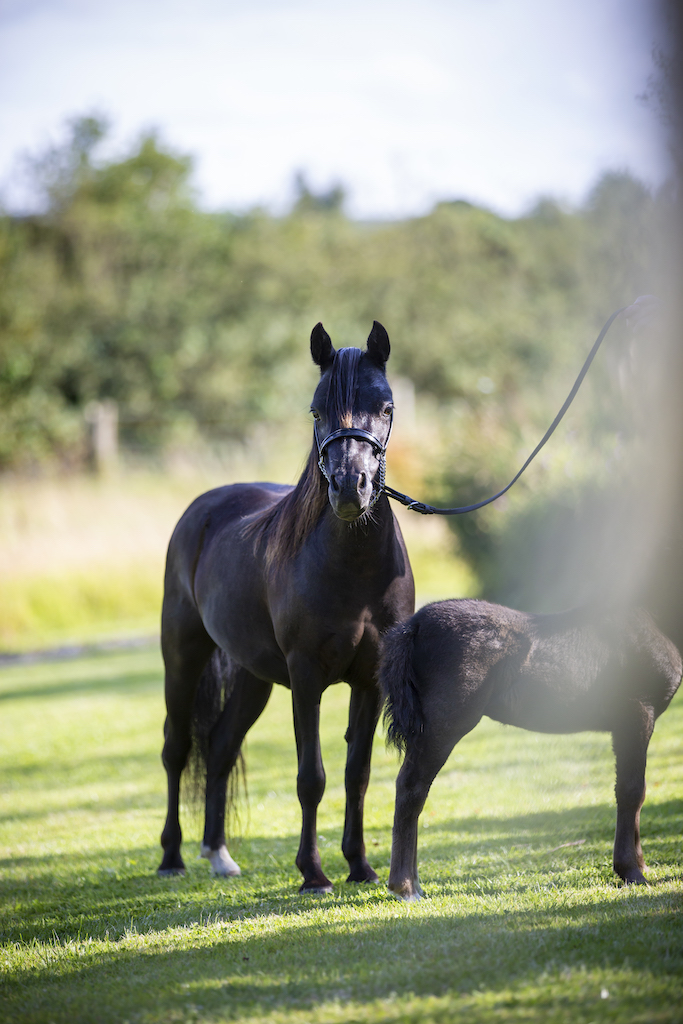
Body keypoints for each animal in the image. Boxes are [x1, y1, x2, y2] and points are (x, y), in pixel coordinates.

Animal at [158, 321, 415, 892]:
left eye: (385, 407)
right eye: (317, 412)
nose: (349, 487)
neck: (353, 570)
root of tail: (202, 509)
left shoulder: (370, 679)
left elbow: (357, 774)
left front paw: (360, 866)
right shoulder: (306, 676)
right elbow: (311, 777)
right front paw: (313, 873)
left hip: (253, 677)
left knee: (221, 747)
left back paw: (219, 854)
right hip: (183, 657)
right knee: (177, 749)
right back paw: (172, 857)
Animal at [380, 598, 682, 900]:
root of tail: (416, 624)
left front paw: (639, 863)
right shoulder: (636, 714)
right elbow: (631, 791)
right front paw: (631, 871)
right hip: (443, 727)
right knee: (412, 788)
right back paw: (405, 887)